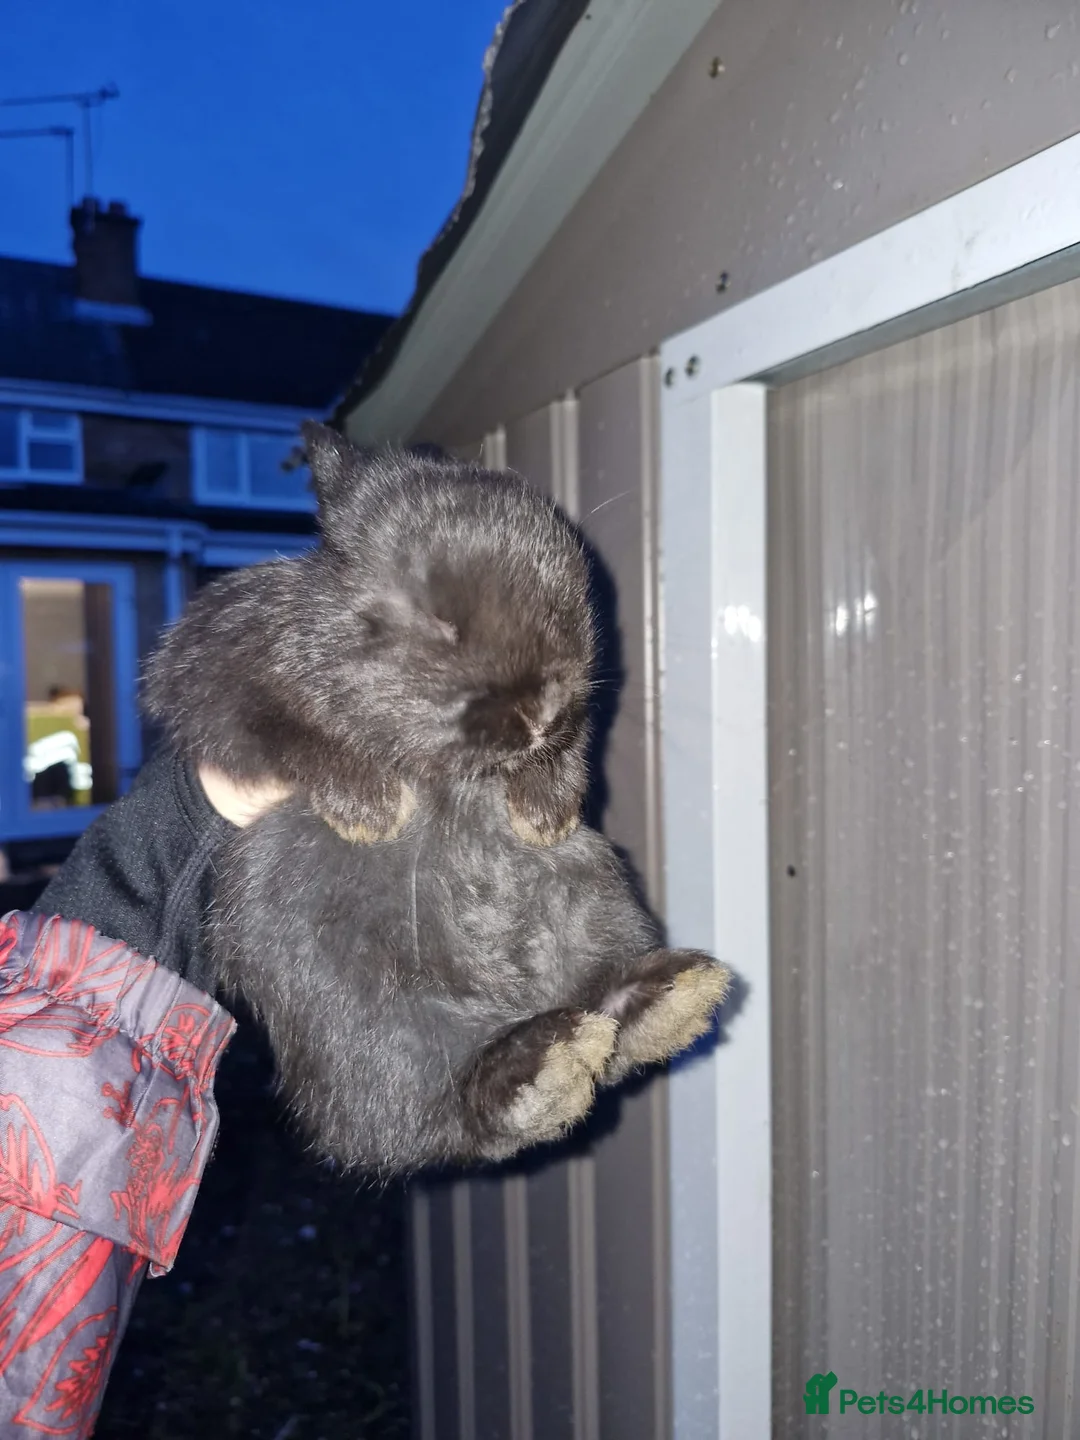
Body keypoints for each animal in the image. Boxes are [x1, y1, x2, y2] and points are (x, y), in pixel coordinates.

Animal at [144, 423, 730, 1173]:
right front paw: (372, 810)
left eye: (571, 601)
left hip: (599, 907)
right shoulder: (219, 672)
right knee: (437, 1110)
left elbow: (569, 751)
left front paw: (542, 816)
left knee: (601, 1011)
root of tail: (517, 1006)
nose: (542, 707)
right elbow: (294, 730)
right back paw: (540, 1067)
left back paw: (665, 1000)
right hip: (361, 1016)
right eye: (439, 620)